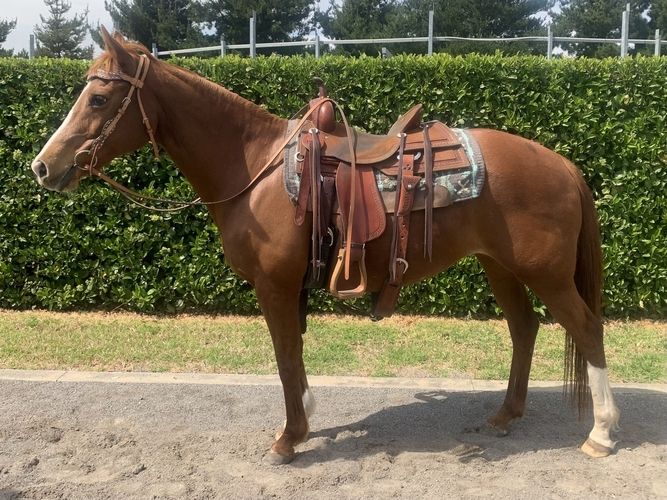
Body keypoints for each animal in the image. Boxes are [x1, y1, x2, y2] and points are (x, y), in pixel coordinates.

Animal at [30, 28, 619, 464]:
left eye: (99, 97)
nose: (43, 167)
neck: (255, 167)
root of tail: (563, 164)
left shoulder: (274, 285)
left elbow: (286, 358)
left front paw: (289, 438)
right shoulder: (288, 288)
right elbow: (294, 356)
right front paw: (303, 422)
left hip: (545, 273)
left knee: (587, 329)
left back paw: (601, 433)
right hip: (501, 266)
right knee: (525, 329)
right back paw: (505, 415)